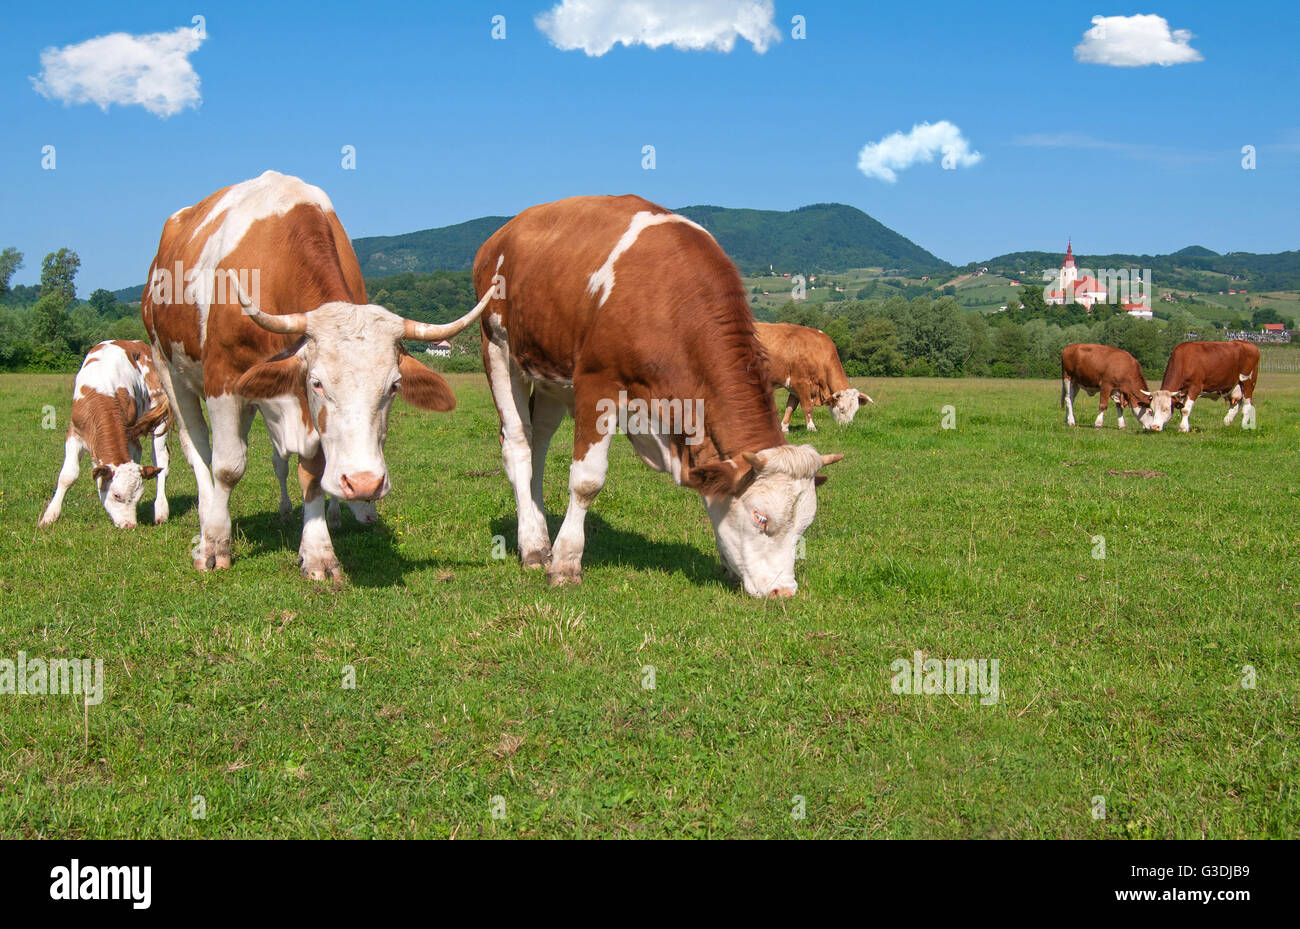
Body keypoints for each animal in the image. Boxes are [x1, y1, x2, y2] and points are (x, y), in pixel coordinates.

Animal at [40, 340, 171, 530]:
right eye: (116, 495)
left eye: (138, 496)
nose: (130, 525)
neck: (102, 392)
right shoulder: (75, 433)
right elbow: (68, 475)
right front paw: (49, 516)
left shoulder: (127, 433)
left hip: (161, 417)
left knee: (160, 459)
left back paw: (161, 510)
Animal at [141, 172, 488, 582]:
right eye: (318, 382)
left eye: (394, 386)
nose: (365, 482)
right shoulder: (223, 377)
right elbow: (228, 467)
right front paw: (215, 545)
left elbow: (313, 471)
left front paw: (318, 551)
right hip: (169, 369)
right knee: (197, 448)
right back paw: (207, 516)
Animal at [467, 198, 842, 600]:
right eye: (761, 518)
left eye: (804, 527)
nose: (783, 591)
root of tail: (502, 234)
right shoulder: (596, 383)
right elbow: (586, 481)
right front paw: (566, 563)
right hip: (497, 347)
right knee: (517, 445)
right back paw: (536, 548)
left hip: (549, 371)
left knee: (538, 443)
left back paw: (537, 533)